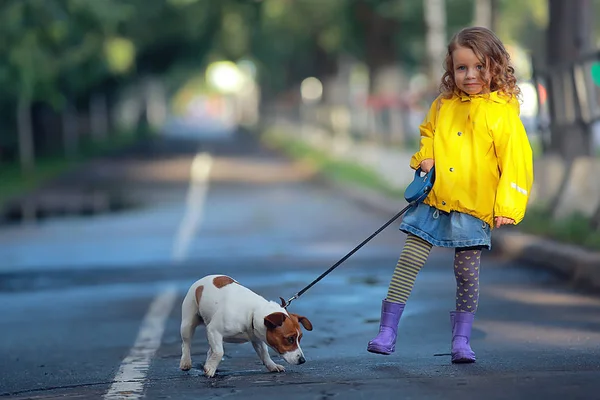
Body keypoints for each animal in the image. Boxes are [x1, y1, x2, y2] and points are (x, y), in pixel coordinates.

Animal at [179, 274, 314, 376]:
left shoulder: (257, 338)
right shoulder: (213, 330)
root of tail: (203, 279)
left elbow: (264, 354)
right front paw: (211, 368)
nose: (302, 360)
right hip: (188, 323)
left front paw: (272, 366)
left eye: (299, 338)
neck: (253, 312)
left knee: (211, 349)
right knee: (186, 343)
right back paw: (186, 362)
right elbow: (219, 352)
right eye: (290, 339)